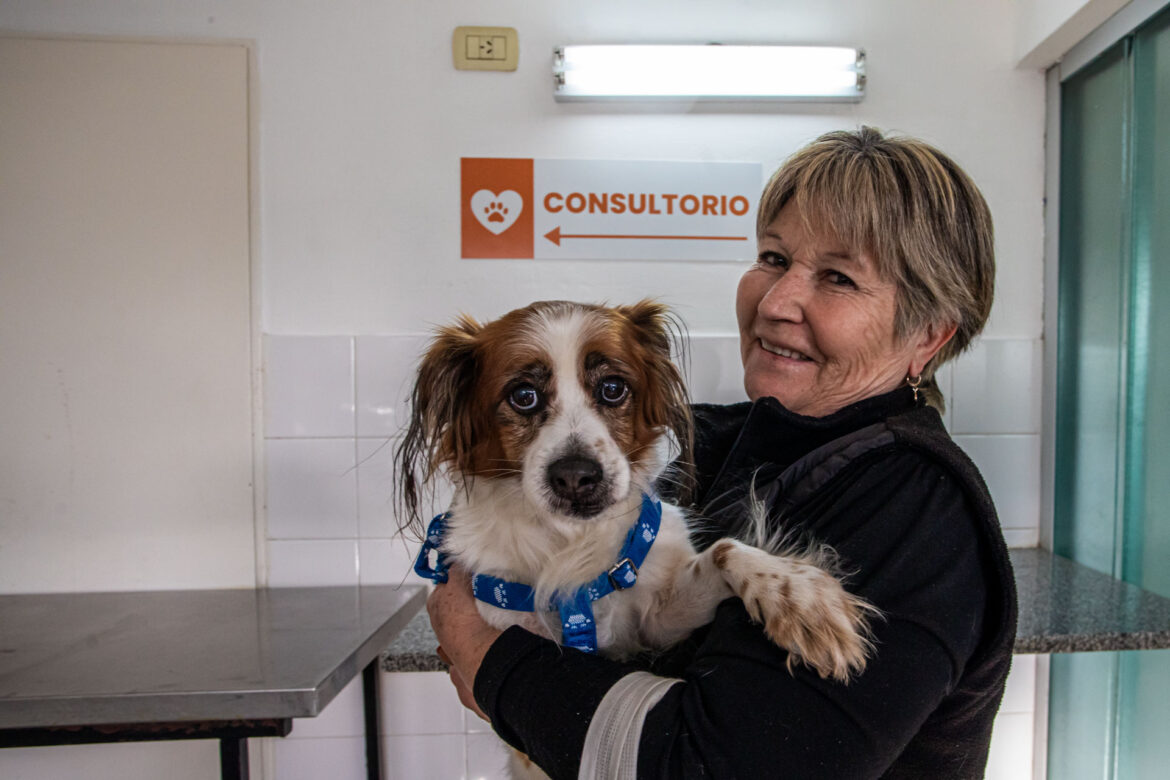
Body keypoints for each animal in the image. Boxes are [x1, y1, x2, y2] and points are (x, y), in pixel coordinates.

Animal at [397, 301, 875, 678]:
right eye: (523, 396)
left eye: (612, 389)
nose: (576, 476)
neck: (574, 543)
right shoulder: (504, 615)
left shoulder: (657, 621)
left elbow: (724, 550)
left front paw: (801, 598)